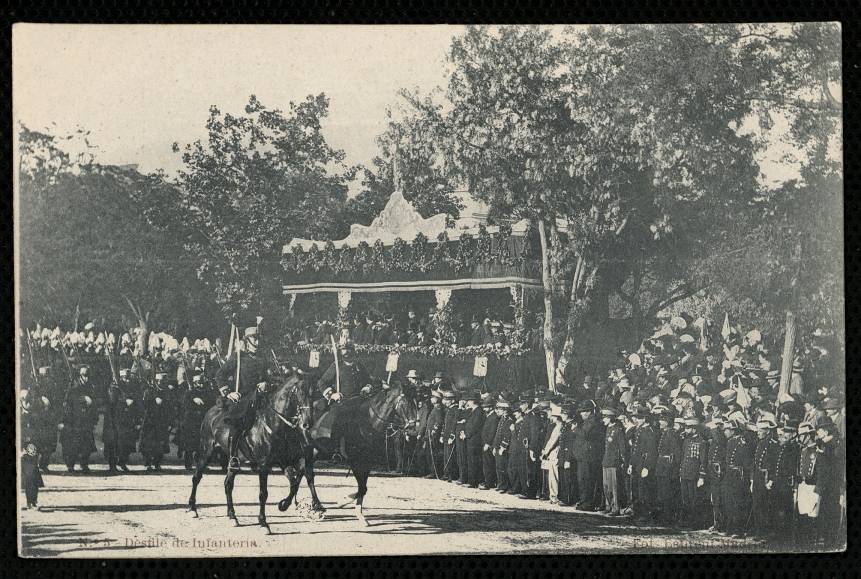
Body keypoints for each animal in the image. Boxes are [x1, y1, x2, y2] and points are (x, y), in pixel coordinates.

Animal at [188, 372, 322, 536]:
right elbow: (263, 493)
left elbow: (294, 483)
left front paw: (283, 504)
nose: (307, 423)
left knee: (228, 484)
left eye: (314, 393)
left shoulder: (284, 461)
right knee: (196, 477)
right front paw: (263, 522)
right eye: (301, 393)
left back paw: (232, 515)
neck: (275, 424)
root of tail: (212, 411)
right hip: (206, 451)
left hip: (232, 460)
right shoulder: (264, 465)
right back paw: (192, 508)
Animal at [278, 382, 416, 528]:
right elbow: (362, 488)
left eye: (416, 402)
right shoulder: (354, 462)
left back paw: (294, 502)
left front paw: (359, 514)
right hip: (309, 450)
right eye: (405, 402)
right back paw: (312, 505)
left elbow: (363, 488)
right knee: (307, 474)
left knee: (302, 472)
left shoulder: (367, 462)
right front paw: (343, 501)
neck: (367, 423)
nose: (413, 428)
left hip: (314, 452)